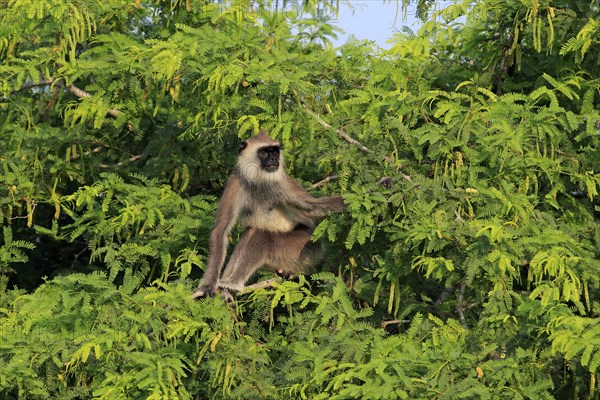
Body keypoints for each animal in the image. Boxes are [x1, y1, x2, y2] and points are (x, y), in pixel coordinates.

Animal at [196, 130, 346, 296]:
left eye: (274, 152)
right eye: (263, 152)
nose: (274, 159)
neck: (259, 181)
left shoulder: (282, 184)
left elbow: (316, 207)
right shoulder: (236, 180)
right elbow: (221, 229)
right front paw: (209, 284)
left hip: (306, 246)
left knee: (261, 235)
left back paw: (233, 284)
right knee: (250, 232)